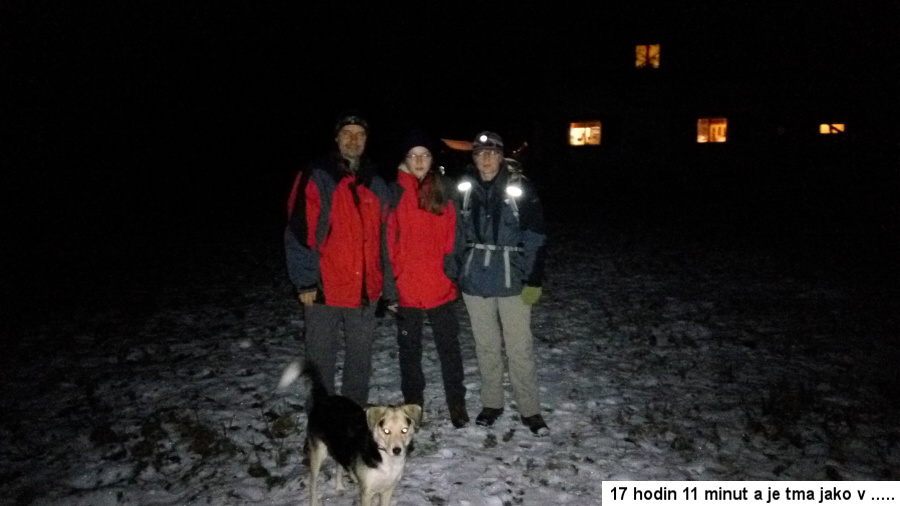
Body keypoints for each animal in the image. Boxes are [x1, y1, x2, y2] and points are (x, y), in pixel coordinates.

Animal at [300, 361, 421, 506]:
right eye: (386, 431)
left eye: (404, 430)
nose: (397, 450)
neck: (383, 454)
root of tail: (324, 399)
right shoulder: (366, 492)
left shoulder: (388, 490)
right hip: (318, 454)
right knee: (313, 483)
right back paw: (314, 500)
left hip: (339, 446)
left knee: (339, 463)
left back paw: (339, 487)